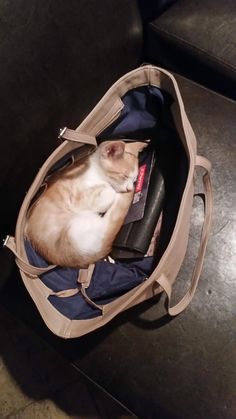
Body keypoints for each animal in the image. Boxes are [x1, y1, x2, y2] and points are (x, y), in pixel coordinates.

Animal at [25, 139, 148, 268]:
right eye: (124, 176)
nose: (130, 188)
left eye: (134, 179)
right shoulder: (77, 198)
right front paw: (111, 191)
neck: (95, 172)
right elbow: (109, 192)